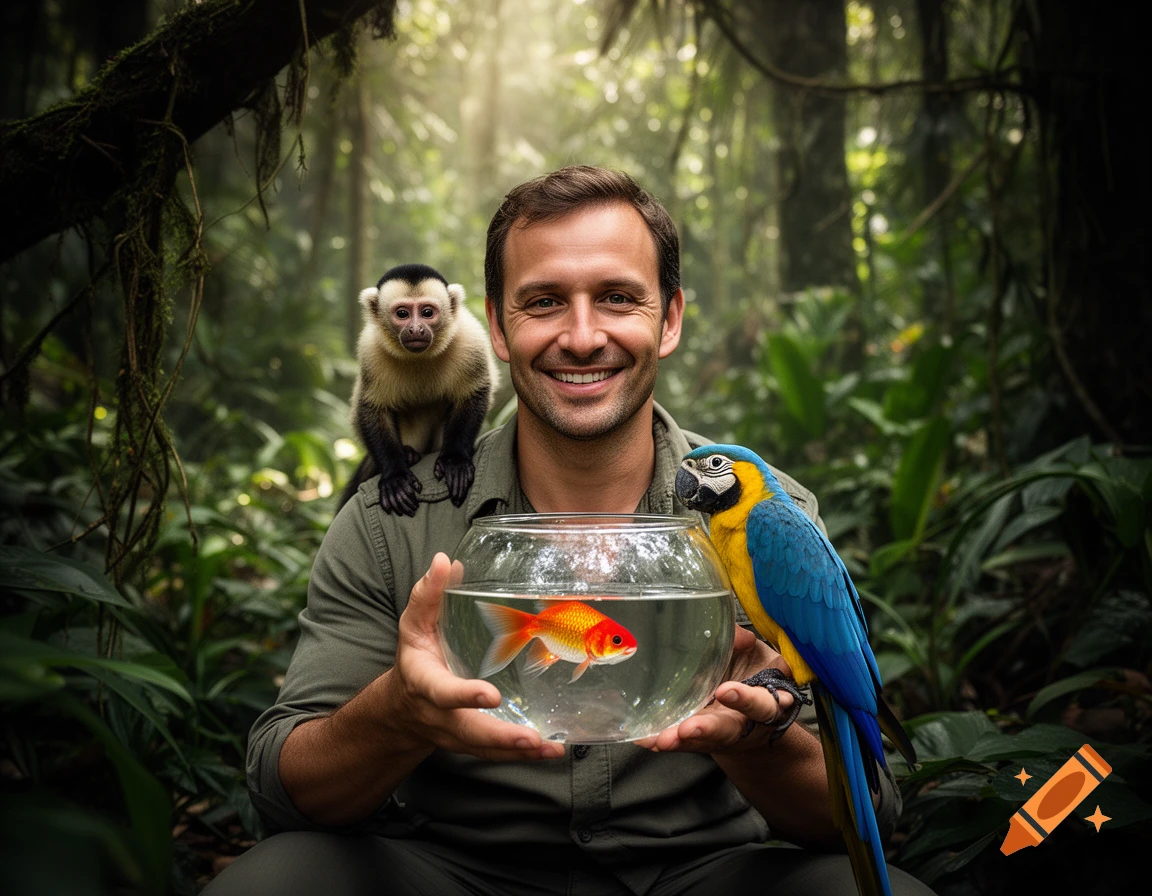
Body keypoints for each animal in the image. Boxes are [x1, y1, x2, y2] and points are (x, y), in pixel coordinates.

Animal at [340, 263, 499, 516]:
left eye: (427, 312)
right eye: (402, 314)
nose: (416, 329)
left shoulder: (469, 338)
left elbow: (473, 392)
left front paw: (454, 460)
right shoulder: (370, 349)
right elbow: (371, 408)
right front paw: (394, 474)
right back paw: (407, 455)